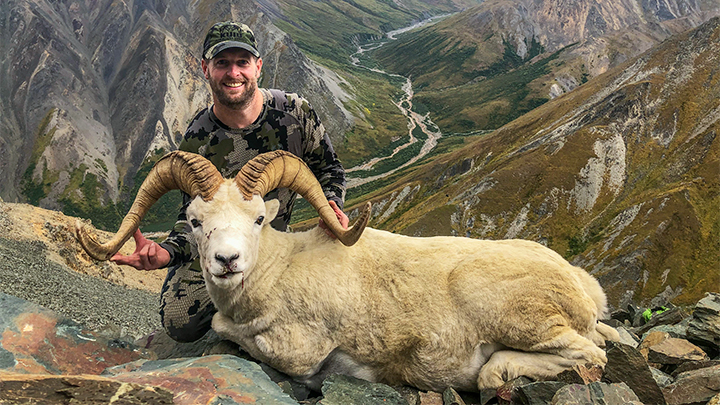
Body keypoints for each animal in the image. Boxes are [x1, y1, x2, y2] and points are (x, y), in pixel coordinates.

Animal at [77, 150, 620, 390]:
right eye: (195, 221)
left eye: (258, 219)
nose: (227, 261)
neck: (279, 272)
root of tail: (582, 288)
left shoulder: (298, 353)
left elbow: (223, 328)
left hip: (522, 318)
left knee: (588, 355)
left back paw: (494, 371)